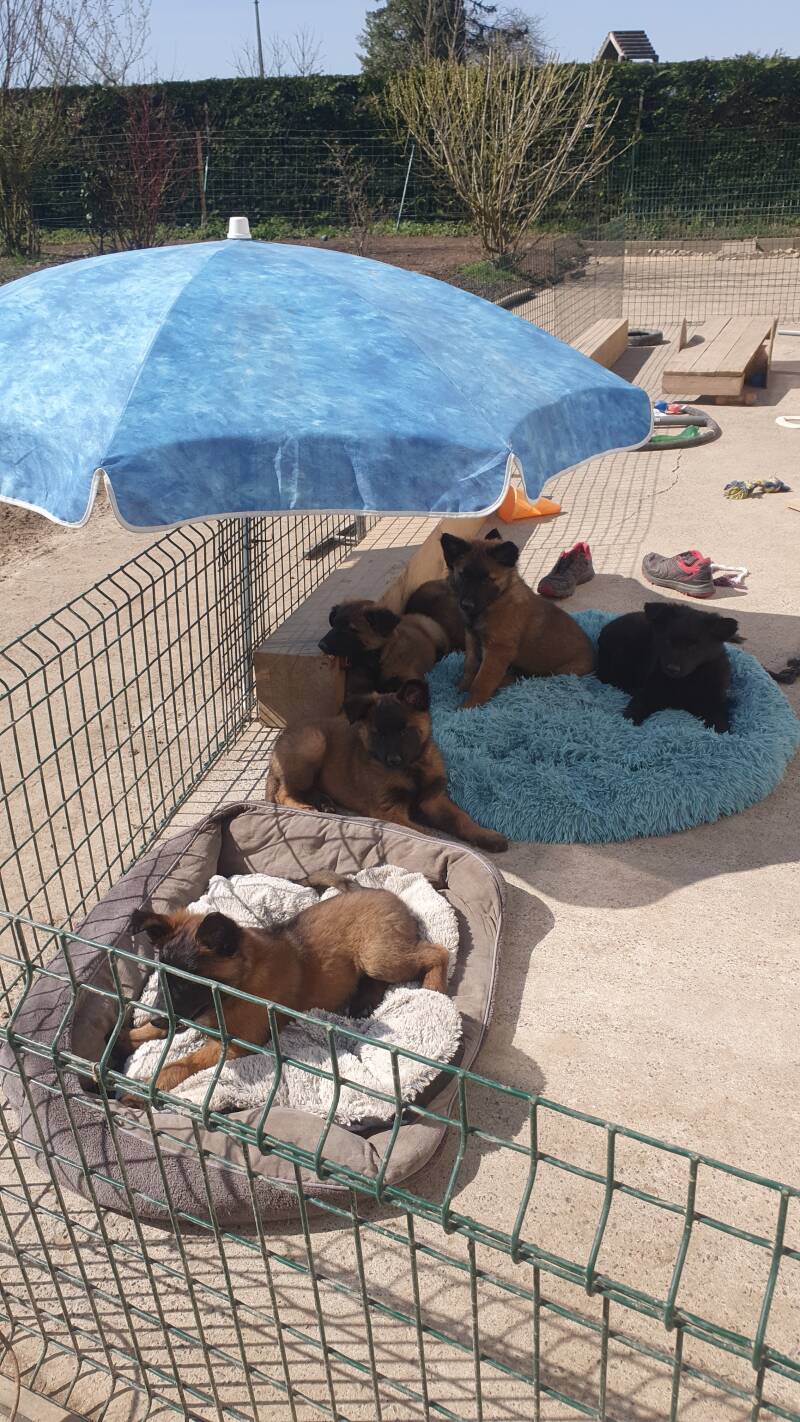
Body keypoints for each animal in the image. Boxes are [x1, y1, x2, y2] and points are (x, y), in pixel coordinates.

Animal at [125, 875, 449, 1094]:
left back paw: (433, 989)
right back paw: (363, 1001)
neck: (238, 986)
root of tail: (373, 889)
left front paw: (146, 1087)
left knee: (437, 952)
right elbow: (153, 1031)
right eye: (161, 976)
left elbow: (184, 1063)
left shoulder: (235, 1045)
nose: (159, 1016)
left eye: (190, 982)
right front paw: (127, 1037)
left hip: (377, 955)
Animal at [265, 678, 508, 853]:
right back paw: (304, 807)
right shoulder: (388, 809)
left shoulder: (433, 800)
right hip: (314, 741)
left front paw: (486, 836)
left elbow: (461, 818)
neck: (411, 769)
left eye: (403, 731)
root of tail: (278, 742)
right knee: (283, 792)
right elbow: (423, 834)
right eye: (379, 734)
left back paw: (323, 803)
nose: (393, 760)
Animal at [441, 529, 594, 706]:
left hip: (560, 672)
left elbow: (482, 682)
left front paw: (469, 707)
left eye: (487, 579)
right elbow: (469, 666)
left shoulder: (498, 650)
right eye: (463, 576)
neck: (498, 599)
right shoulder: (472, 639)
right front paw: (461, 687)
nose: (466, 605)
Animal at [596, 602, 739, 731]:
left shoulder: (714, 701)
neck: (685, 681)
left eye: (694, 647)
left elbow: (720, 721)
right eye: (668, 641)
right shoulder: (649, 692)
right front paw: (626, 724)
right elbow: (635, 708)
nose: (672, 668)